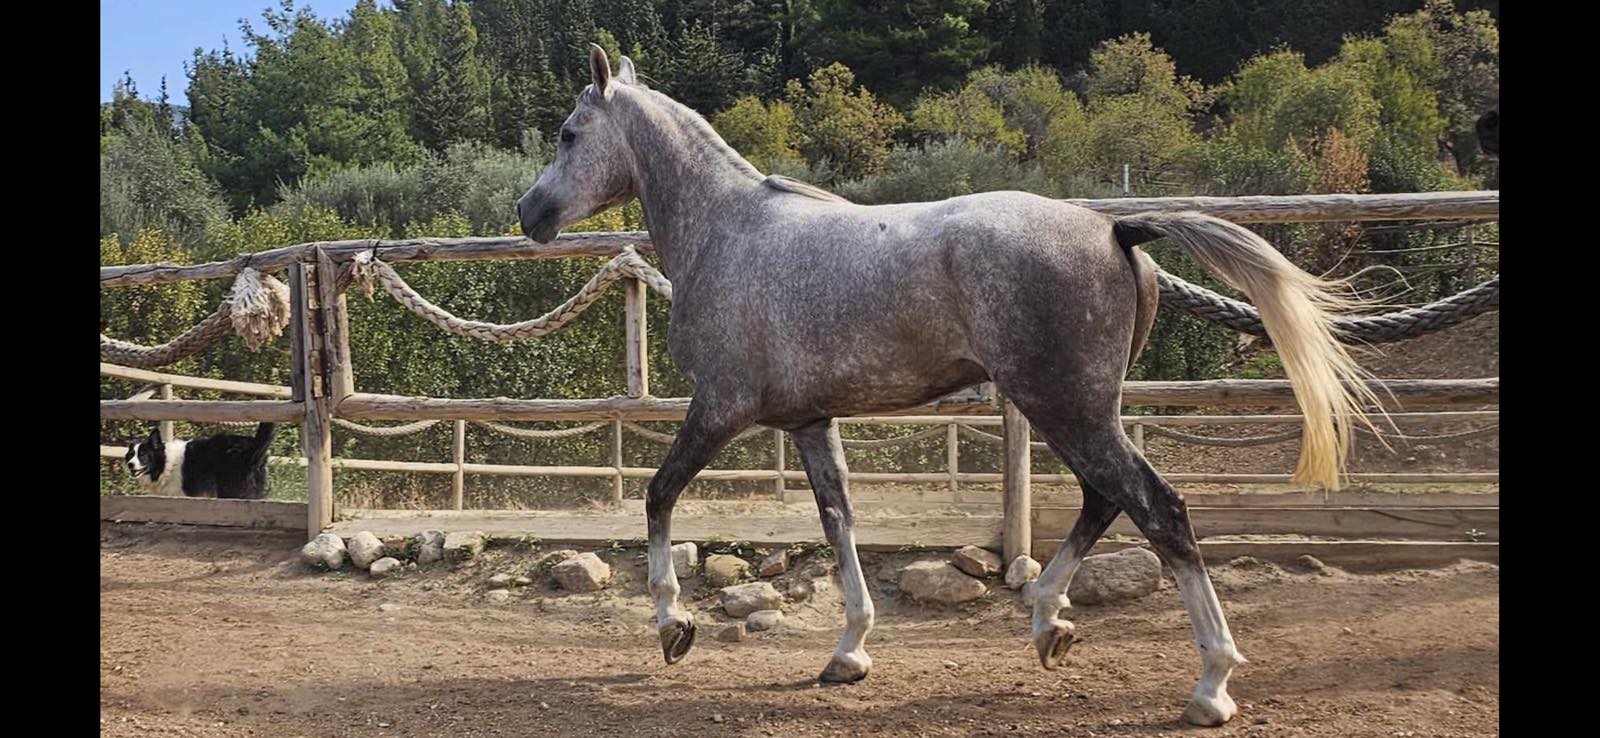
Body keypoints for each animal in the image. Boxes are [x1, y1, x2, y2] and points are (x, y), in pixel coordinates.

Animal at [517, 45, 1380, 727]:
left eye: (568, 132)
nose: (529, 212)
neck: (726, 234)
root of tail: (1116, 227)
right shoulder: (810, 422)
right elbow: (839, 520)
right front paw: (849, 653)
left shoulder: (720, 409)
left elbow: (659, 495)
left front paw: (673, 625)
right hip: (1079, 408)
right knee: (1106, 500)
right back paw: (1049, 625)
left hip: (1064, 405)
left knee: (1156, 507)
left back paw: (1209, 686)